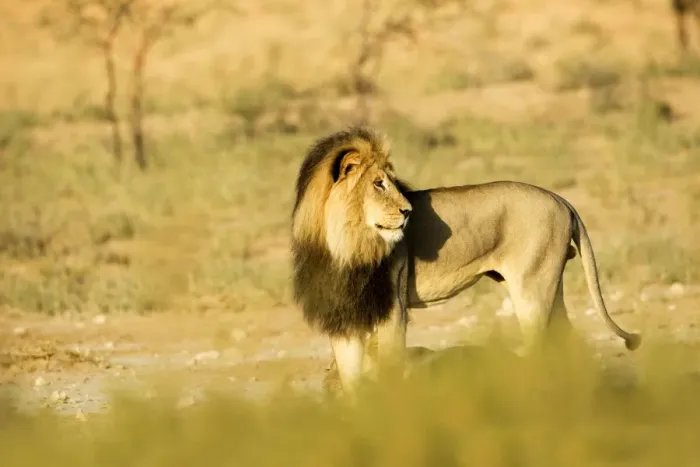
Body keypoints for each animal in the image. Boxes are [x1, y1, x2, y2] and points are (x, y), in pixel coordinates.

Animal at [291, 126, 641, 396]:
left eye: (391, 182)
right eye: (378, 183)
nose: (408, 211)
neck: (344, 245)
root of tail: (562, 199)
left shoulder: (393, 309)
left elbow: (388, 367)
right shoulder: (342, 315)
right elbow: (351, 380)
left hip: (532, 289)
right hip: (550, 288)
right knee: (567, 340)